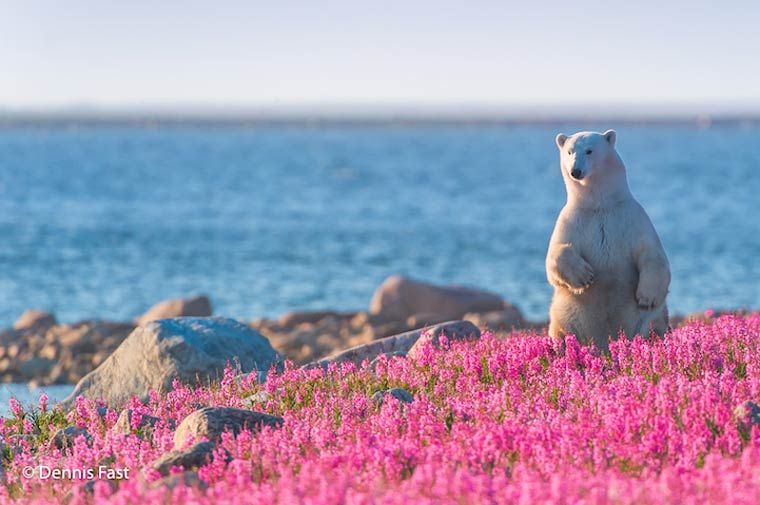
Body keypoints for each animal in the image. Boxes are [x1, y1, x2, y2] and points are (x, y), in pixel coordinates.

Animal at [548, 130, 668, 350]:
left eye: (589, 150)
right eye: (569, 151)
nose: (575, 171)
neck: (600, 204)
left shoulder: (632, 218)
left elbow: (651, 252)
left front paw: (646, 297)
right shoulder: (572, 220)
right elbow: (555, 255)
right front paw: (584, 276)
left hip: (643, 320)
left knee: (652, 324)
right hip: (565, 312)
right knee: (562, 330)